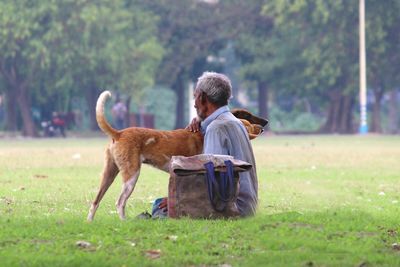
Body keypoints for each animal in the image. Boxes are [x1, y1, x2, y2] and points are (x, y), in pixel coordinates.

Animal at [87, 91, 268, 221]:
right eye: (248, 116)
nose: (264, 125)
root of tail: (119, 133)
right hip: (131, 176)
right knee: (119, 203)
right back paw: (125, 222)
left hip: (109, 174)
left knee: (95, 201)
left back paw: (90, 222)